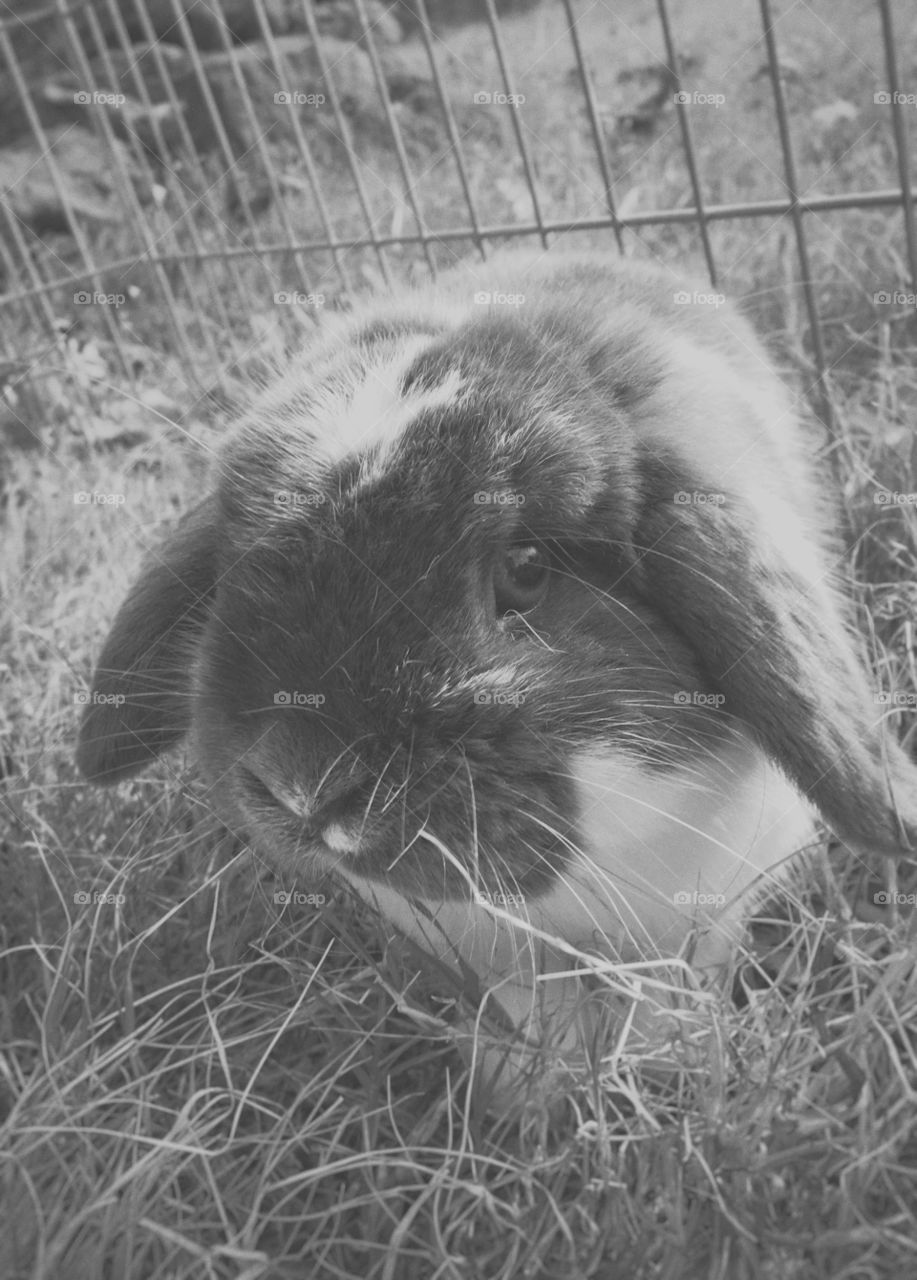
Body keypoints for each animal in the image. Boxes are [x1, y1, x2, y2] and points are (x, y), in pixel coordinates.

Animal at [77, 247, 917, 1100]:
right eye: (238, 569)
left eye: (525, 568)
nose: (301, 788)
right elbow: (529, 1003)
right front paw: (534, 1087)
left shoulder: (709, 902)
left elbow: (672, 981)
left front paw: (658, 1061)